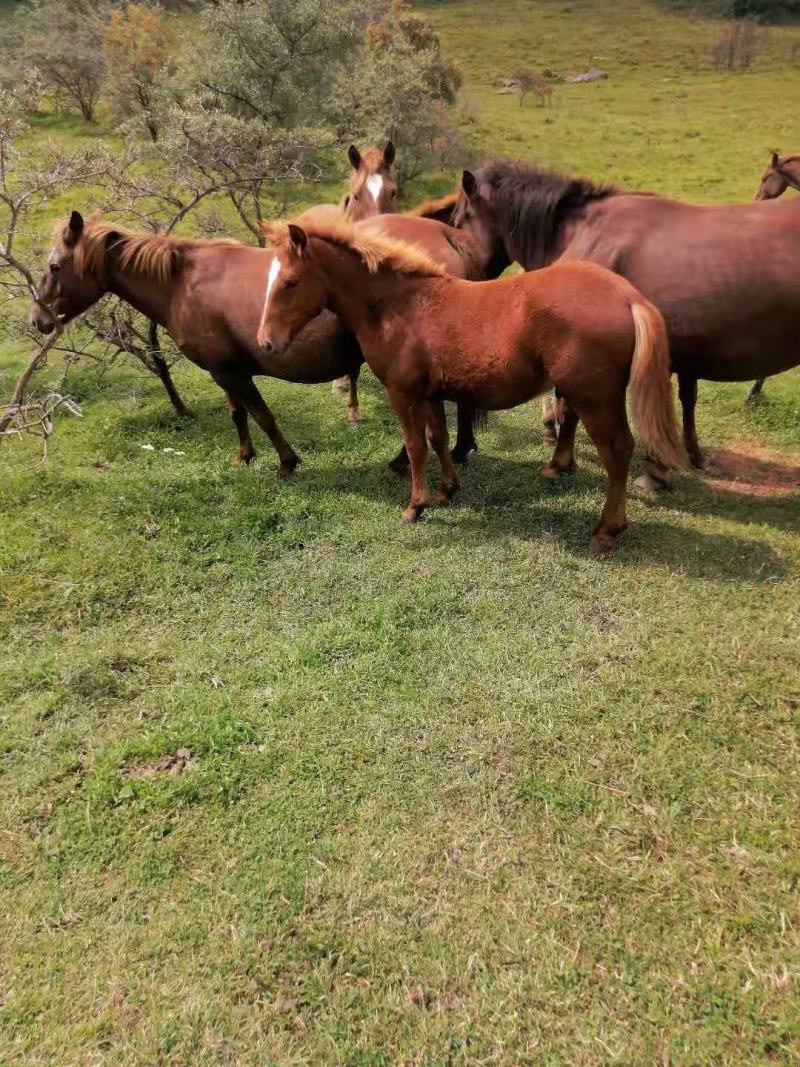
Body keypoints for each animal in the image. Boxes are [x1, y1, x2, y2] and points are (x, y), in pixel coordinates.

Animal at [31, 209, 492, 474]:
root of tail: (448, 238)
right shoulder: (223, 371)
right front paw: (244, 455)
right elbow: (238, 414)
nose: (38, 319)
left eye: (54, 266)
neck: (183, 282)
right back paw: (460, 449)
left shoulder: (230, 372)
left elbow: (262, 414)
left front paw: (287, 462)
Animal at [256, 218, 682, 552]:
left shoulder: (402, 392)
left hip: (596, 399)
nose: (266, 342)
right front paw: (446, 490)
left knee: (617, 451)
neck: (397, 306)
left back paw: (607, 530)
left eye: (290, 282)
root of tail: (628, 296)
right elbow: (439, 438)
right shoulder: (431, 393)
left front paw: (415, 505)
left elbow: (415, 446)